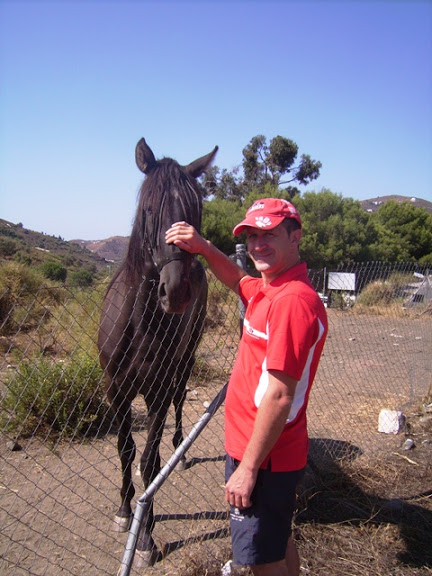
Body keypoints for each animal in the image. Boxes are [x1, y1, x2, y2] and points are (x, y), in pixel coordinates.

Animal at [99, 137, 218, 564]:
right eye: (150, 209)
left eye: (197, 210)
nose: (177, 291)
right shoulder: (116, 389)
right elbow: (125, 450)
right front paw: (123, 511)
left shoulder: (158, 391)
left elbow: (149, 460)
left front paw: (146, 536)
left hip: (185, 360)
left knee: (182, 399)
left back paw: (179, 450)